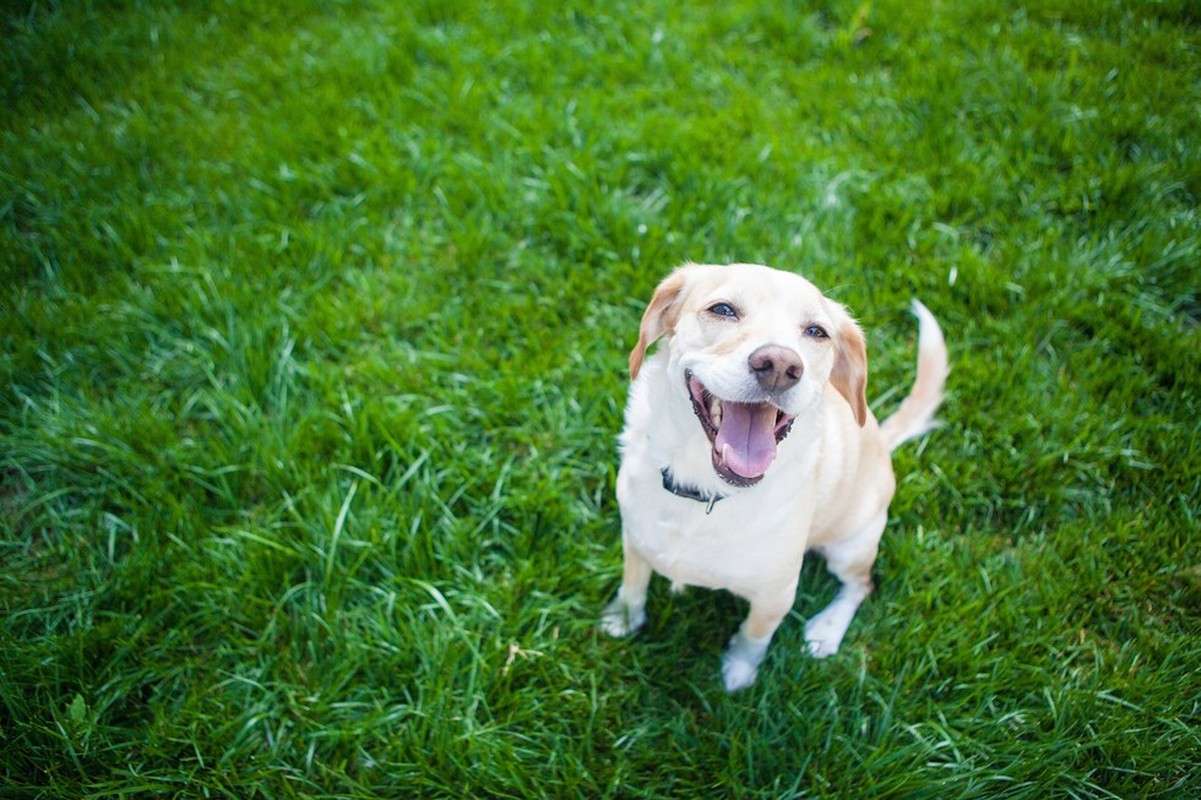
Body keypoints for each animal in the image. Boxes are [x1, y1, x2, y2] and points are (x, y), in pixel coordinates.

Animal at [600, 263, 946, 691]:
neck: (706, 490)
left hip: (850, 547)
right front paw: (623, 619)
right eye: (723, 309)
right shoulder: (635, 538)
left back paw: (826, 630)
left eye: (816, 331)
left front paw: (738, 674)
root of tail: (880, 438)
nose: (780, 366)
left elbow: (755, 635)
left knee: (860, 585)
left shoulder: (776, 594)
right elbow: (632, 586)